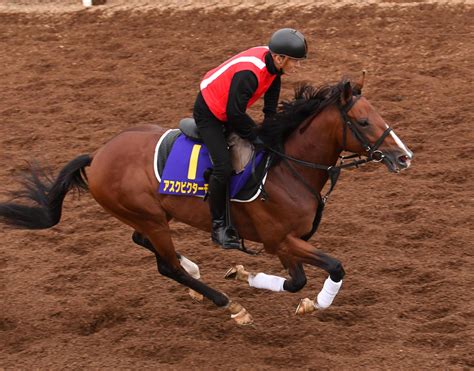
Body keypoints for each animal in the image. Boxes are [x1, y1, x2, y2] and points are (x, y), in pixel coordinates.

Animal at [0, 73, 412, 326]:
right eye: (362, 122)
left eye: (377, 114)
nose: (404, 157)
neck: (287, 167)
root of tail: (97, 156)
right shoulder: (280, 240)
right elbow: (324, 271)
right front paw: (311, 301)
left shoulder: (288, 243)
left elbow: (301, 278)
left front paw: (244, 273)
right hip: (150, 216)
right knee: (166, 265)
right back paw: (228, 303)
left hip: (153, 214)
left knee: (145, 242)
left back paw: (196, 271)